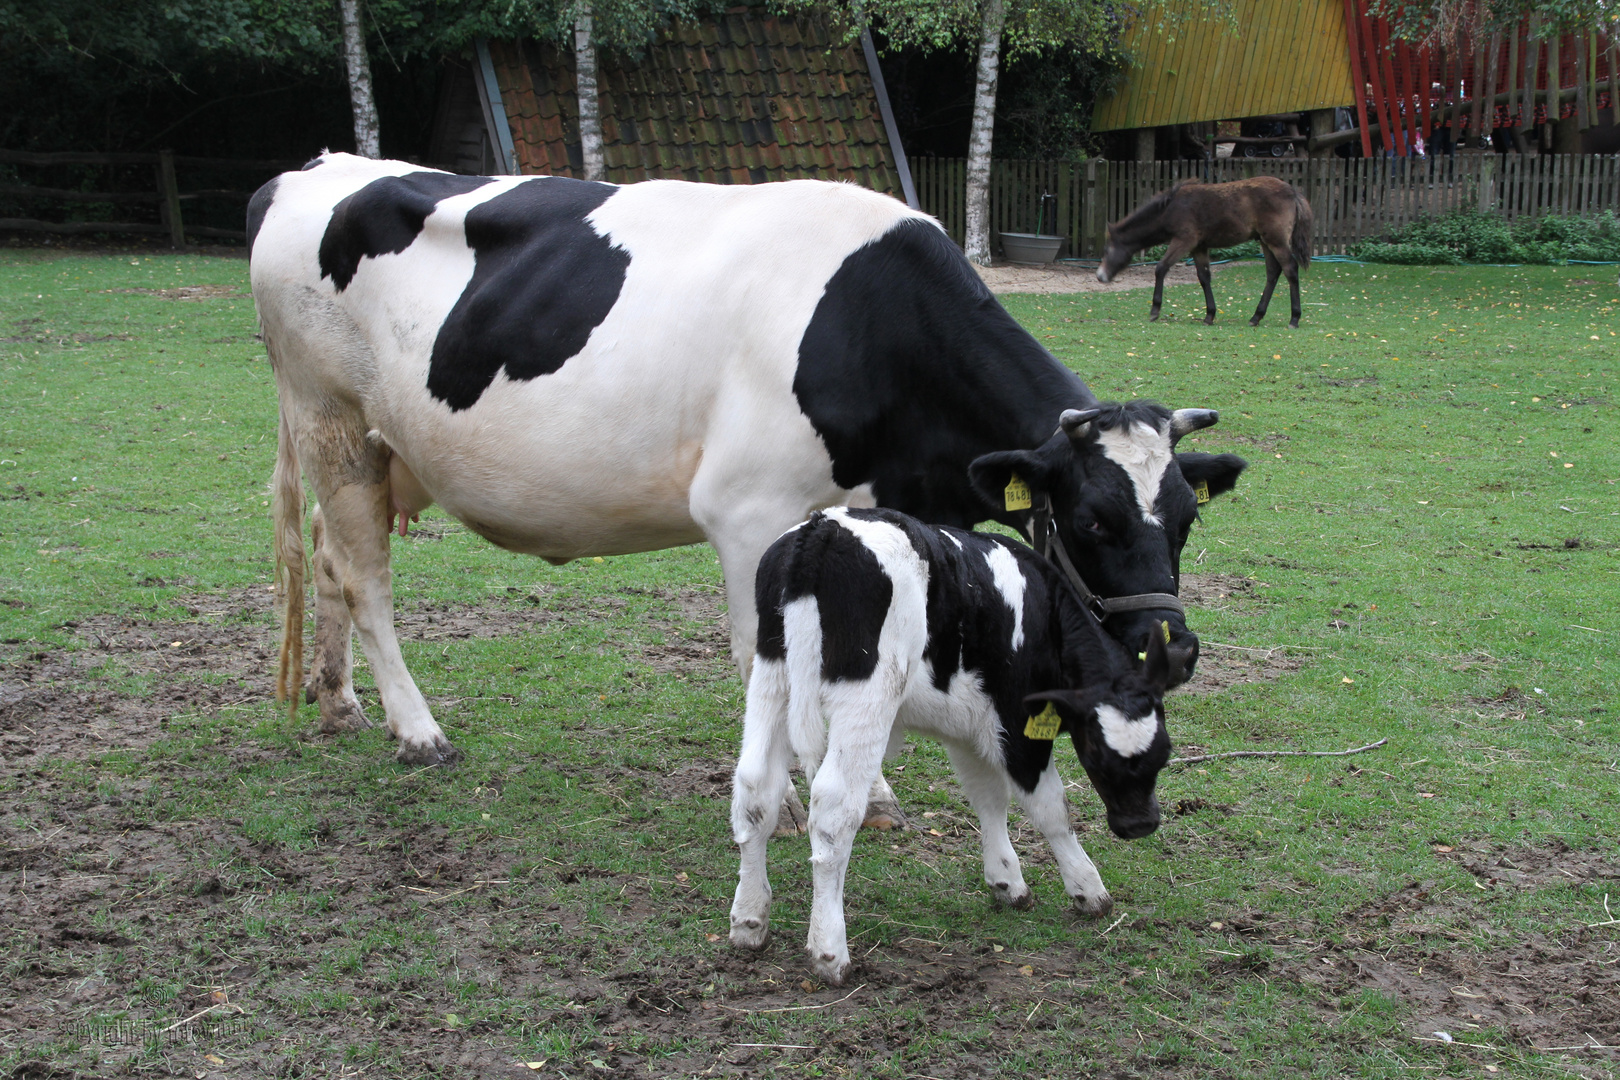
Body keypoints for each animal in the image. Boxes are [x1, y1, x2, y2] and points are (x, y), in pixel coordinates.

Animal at [249, 153, 1237, 767]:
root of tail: (316, 170)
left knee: (331, 560)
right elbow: (775, 659)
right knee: (366, 579)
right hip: (330, 417)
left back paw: (340, 703)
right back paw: (417, 730)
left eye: (1188, 519)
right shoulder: (743, 512)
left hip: (364, 447)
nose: (1174, 647)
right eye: (1091, 520)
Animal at [735, 501, 1179, 984]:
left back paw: (749, 922)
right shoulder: (1018, 723)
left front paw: (1007, 881)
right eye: (1097, 755)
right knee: (834, 810)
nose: (1140, 824)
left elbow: (988, 797)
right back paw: (829, 951)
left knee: (756, 789)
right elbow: (1051, 808)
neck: (1043, 616)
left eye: (1163, 753)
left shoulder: (966, 726)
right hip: (868, 693)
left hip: (772, 675)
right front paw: (1087, 889)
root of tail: (824, 529)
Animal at [1101, 175, 1315, 330]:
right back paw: (1256, 316)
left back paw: (1294, 318)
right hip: (1264, 240)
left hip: (1276, 241)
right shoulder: (1199, 246)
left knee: (1290, 269)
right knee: (1273, 272)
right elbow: (1204, 277)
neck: (1170, 207)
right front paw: (1209, 315)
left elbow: (1160, 268)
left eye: (1108, 249)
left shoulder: (1184, 240)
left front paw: (1155, 310)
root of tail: (1293, 192)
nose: (1100, 276)